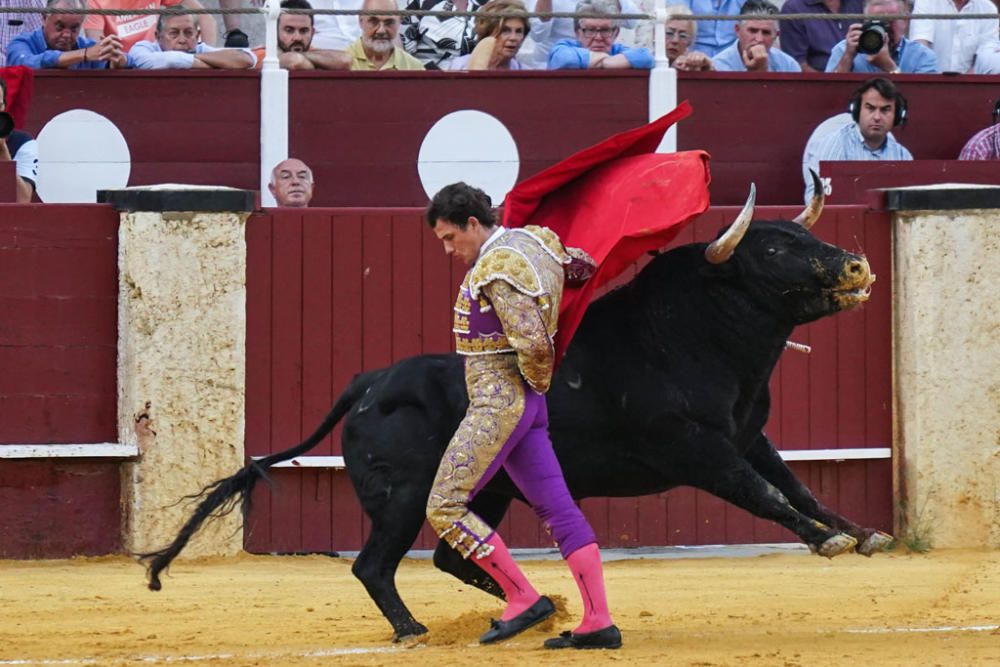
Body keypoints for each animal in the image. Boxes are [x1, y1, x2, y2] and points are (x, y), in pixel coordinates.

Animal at [143, 181, 892, 640]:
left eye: (799, 237)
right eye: (775, 248)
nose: (856, 266)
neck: (691, 334)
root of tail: (370, 381)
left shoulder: (749, 434)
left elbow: (797, 484)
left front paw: (860, 531)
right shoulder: (693, 447)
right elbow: (763, 492)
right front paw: (824, 539)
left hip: (490, 488)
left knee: (450, 559)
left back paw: (535, 607)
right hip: (406, 494)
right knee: (374, 564)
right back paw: (414, 630)